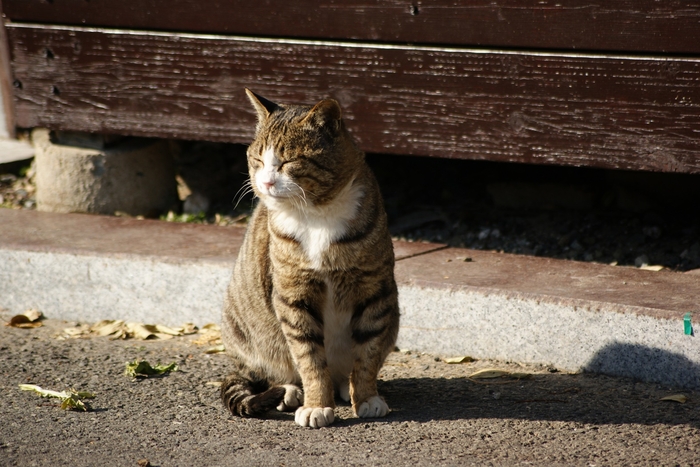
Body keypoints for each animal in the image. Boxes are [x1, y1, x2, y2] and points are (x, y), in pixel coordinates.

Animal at [221, 89, 402, 430]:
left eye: (288, 161)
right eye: (258, 159)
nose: (266, 182)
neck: (315, 215)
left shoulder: (374, 290)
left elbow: (368, 353)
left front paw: (366, 396)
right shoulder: (294, 296)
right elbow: (309, 358)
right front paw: (317, 404)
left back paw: (345, 386)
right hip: (246, 330)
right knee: (272, 371)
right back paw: (290, 391)